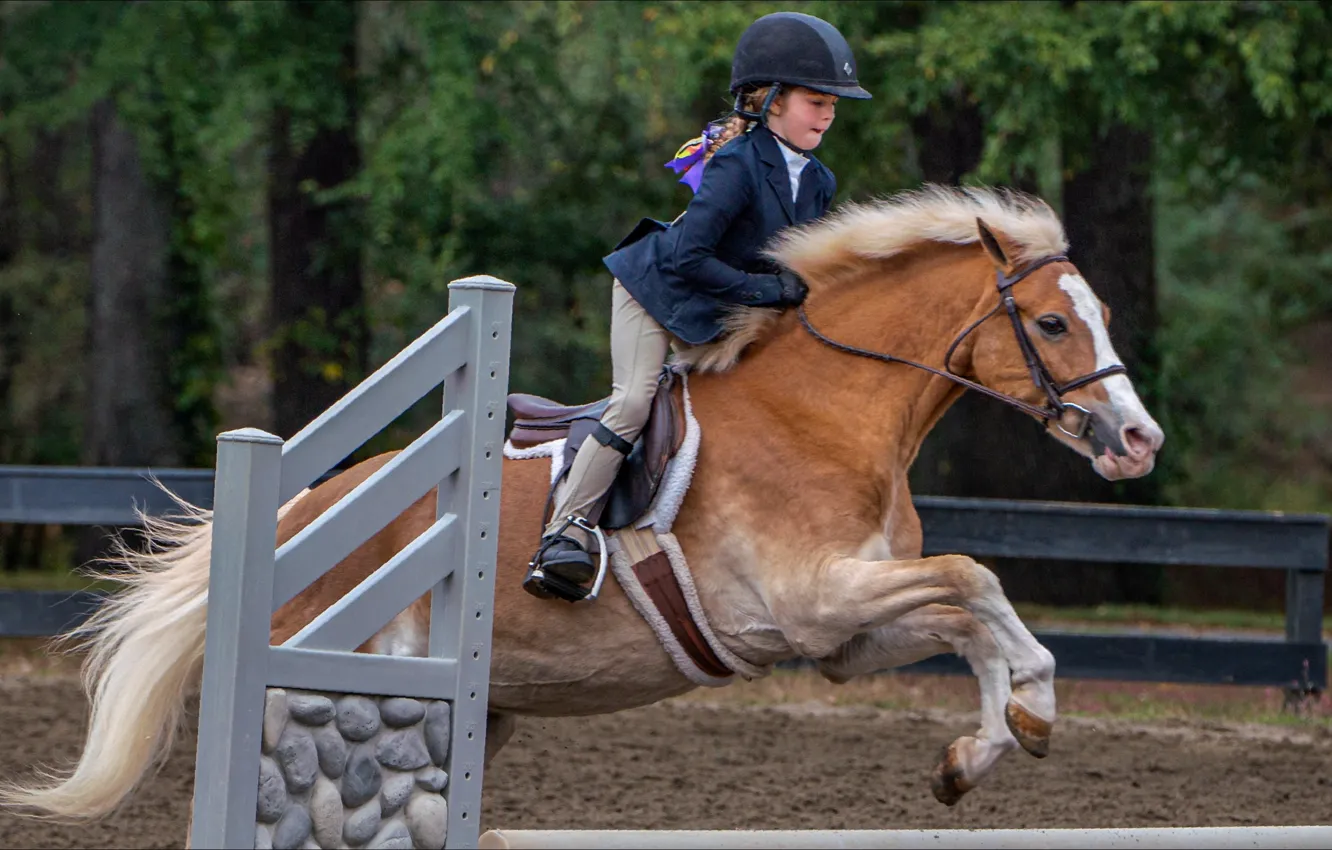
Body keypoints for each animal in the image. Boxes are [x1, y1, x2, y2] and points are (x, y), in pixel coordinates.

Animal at [0, 185, 1163, 827]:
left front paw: (983, 749)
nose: (1139, 441)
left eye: (1099, 313)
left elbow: (971, 618)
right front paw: (1033, 709)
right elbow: (977, 579)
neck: (828, 410)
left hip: (478, 713)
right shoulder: (814, 599)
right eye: (1053, 324)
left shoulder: (842, 633)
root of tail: (292, 518)